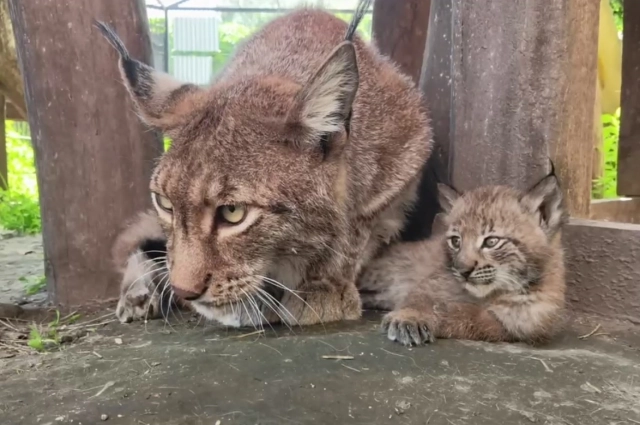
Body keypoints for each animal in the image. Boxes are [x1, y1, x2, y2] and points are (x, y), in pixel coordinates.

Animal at [358, 169, 568, 344]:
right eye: (456, 241)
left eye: (491, 242)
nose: (462, 270)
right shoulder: (431, 282)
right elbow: (420, 298)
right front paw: (409, 317)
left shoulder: (516, 325)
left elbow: (466, 315)